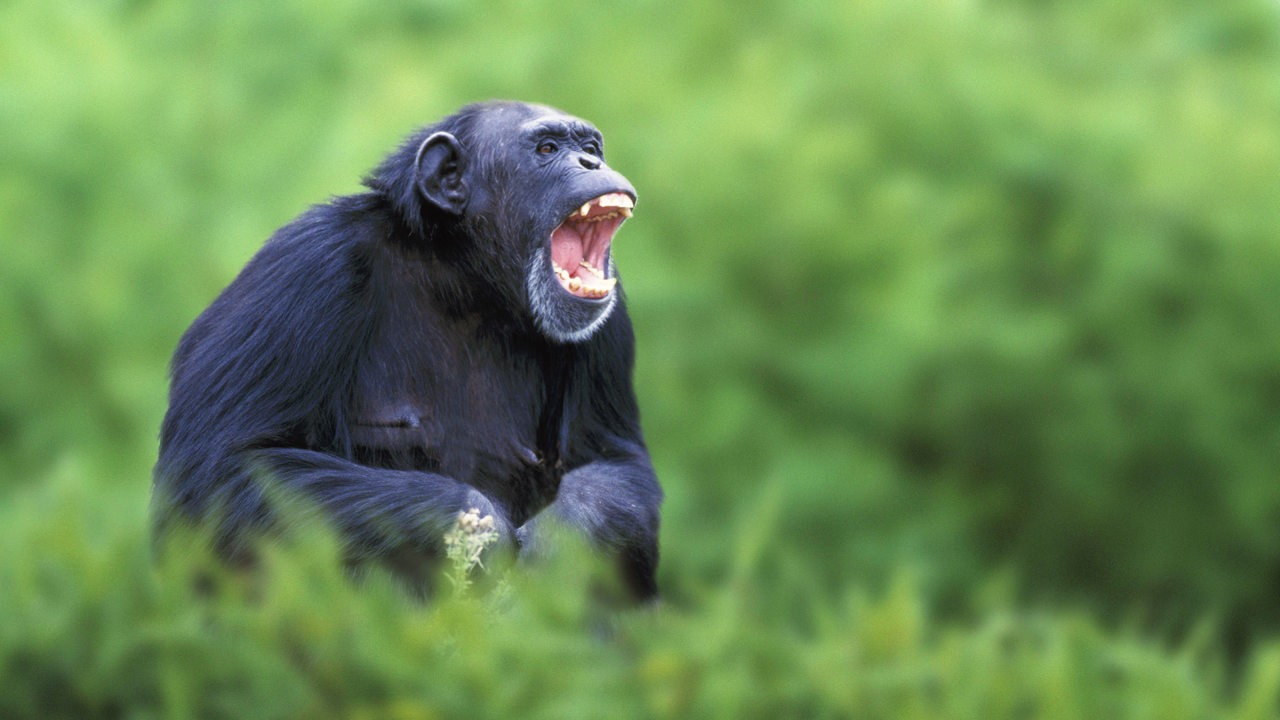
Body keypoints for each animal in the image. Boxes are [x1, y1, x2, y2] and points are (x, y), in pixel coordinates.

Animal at [152, 99, 660, 594]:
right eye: (548, 149)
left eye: (591, 147)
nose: (591, 163)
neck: (463, 277)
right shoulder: (308, 264)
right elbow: (220, 466)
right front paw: (483, 528)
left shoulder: (610, 324)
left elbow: (616, 460)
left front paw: (559, 539)